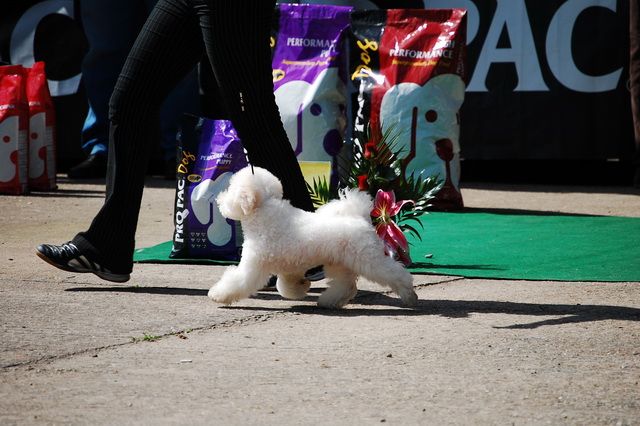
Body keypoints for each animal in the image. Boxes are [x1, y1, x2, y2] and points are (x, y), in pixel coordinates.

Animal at [207, 166, 418, 309]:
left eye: (231, 189)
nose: (220, 199)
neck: (264, 213)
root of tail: (359, 217)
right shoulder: (289, 268)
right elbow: (286, 285)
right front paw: (301, 287)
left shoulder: (254, 265)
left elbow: (238, 280)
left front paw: (218, 294)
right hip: (339, 263)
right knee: (346, 285)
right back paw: (329, 301)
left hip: (367, 259)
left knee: (394, 273)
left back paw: (409, 295)